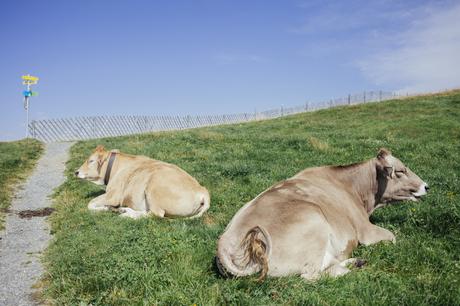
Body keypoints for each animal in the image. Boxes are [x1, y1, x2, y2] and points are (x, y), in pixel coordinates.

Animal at [75, 145, 210, 219]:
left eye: (91, 160)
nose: (76, 172)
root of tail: (203, 191)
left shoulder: (113, 195)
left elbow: (90, 204)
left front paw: (105, 208)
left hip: (154, 186)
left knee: (156, 214)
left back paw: (126, 214)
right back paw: (124, 210)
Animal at [216, 149, 428, 280]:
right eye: (400, 171)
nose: (426, 186)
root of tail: (225, 243)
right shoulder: (365, 230)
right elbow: (393, 237)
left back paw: (357, 262)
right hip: (315, 222)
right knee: (316, 275)